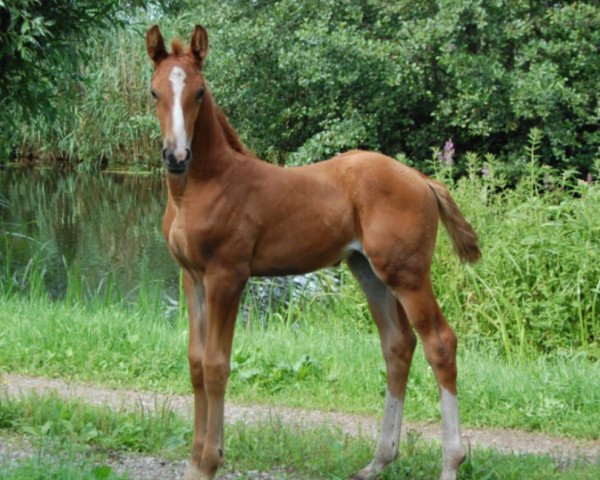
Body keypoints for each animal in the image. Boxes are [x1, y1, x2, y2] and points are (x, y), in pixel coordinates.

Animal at [146, 24, 482, 480]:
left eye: (199, 92)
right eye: (154, 92)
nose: (176, 156)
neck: (203, 186)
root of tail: (422, 179)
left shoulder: (227, 275)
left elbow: (217, 364)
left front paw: (210, 462)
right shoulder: (192, 277)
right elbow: (196, 364)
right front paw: (196, 462)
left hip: (408, 274)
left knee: (440, 343)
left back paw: (450, 462)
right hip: (368, 270)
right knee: (398, 345)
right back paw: (378, 461)